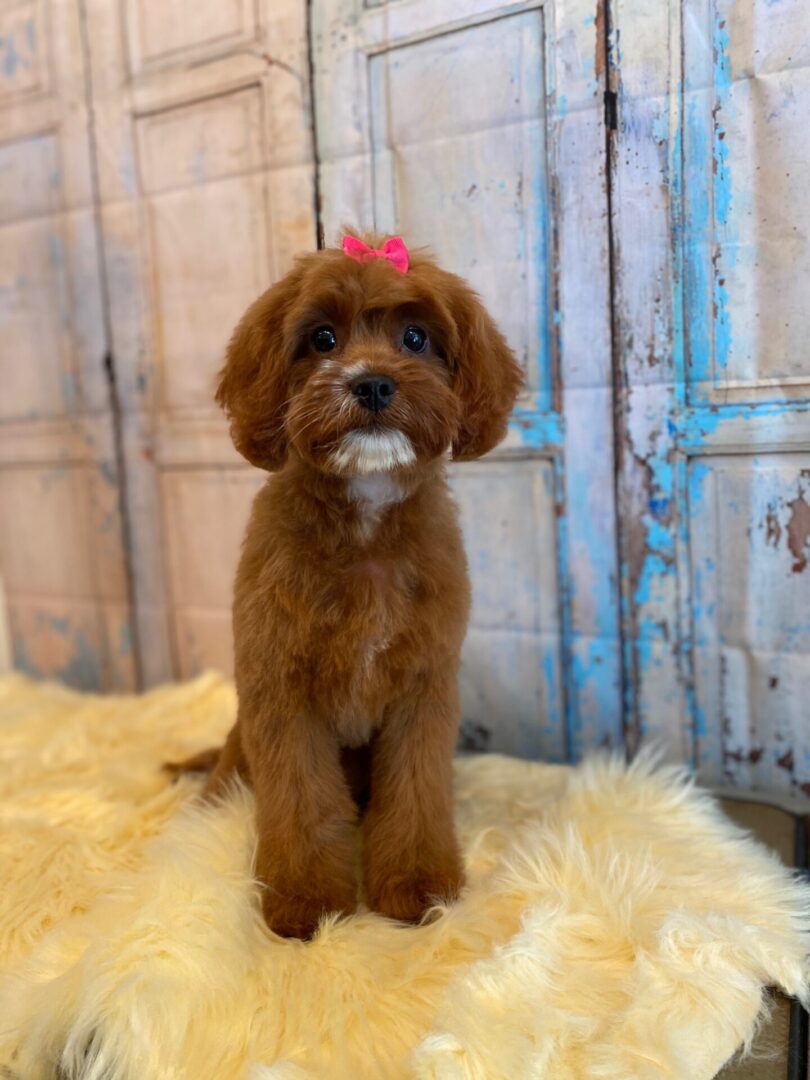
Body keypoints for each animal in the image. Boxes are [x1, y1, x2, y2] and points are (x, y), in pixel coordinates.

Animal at [173, 234, 522, 937]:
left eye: (416, 337)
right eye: (323, 338)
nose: (372, 382)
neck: (364, 520)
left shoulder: (423, 688)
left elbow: (415, 792)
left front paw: (417, 887)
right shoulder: (281, 690)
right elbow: (299, 801)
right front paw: (304, 902)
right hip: (240, 746)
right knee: (229, 782)